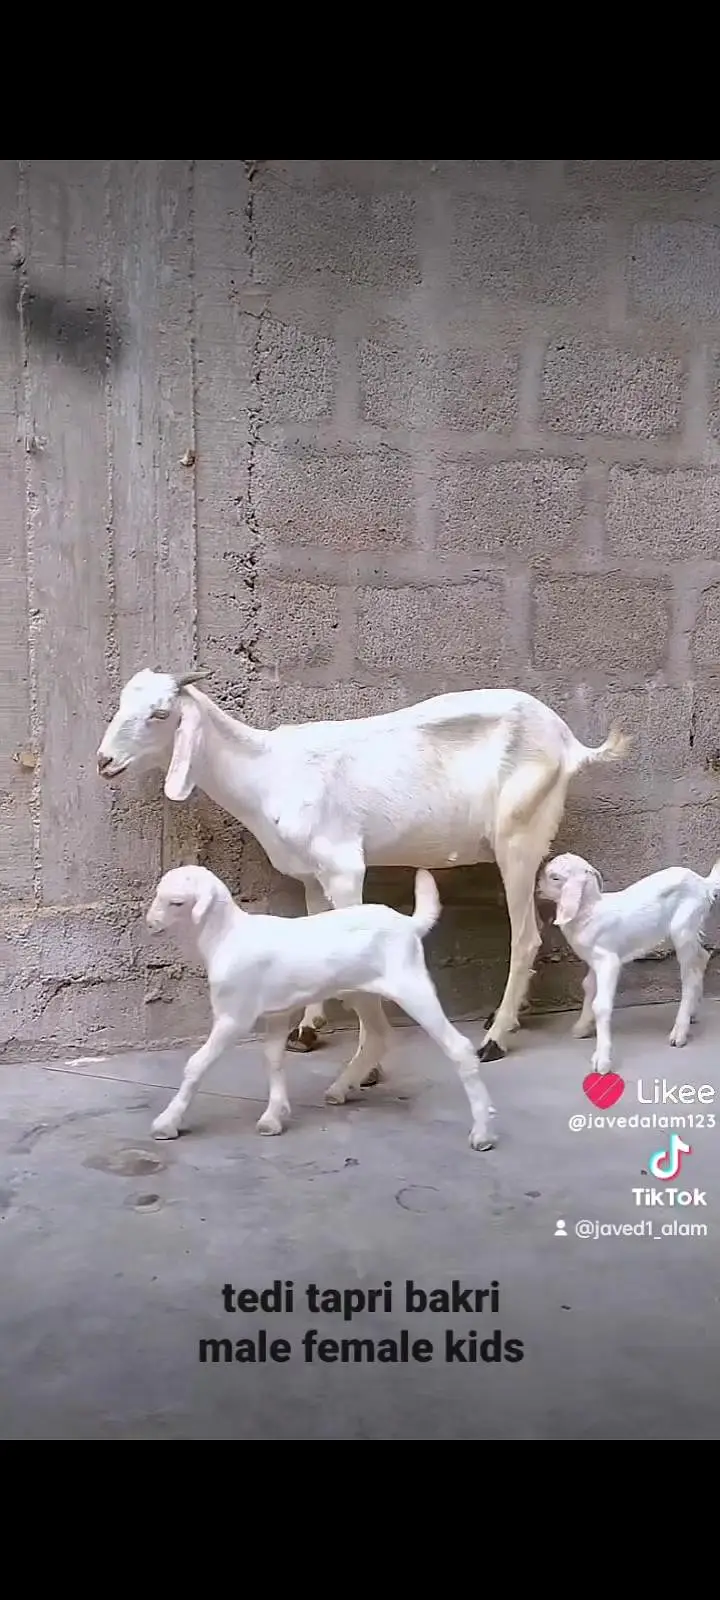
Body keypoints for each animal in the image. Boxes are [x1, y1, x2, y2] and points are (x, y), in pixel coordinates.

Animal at [97, 668, 629, 1098]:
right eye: (121, 701)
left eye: (160, 714)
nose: (104, 761)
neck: (267, 771)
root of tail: (568, 743)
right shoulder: (311, 875)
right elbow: (314, 936)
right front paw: (307, 1031)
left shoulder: (344, 865)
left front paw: (366, 1066)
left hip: (518, 835)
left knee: (526, 936)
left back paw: (495, 1038)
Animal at [144, 862, 497, 1150]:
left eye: (176, 902)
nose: (151, 923)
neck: (228, 937)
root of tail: (409, 925)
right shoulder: (278, 1013)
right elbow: (273, 1059)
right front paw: (274, 1116)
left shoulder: (234, 1017)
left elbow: (197, 1064)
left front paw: (167, 1122)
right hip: (362, 993)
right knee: (378, 1035)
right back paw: (340, 1088)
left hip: (412, 987)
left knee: (457, 1047)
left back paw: (482, 1132)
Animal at [537, 850, 720, 1074]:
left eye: (554, 877)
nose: (537, 886)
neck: (591, 912)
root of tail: (704, 884)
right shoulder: (594, 960)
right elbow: (588, 986)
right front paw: (582, 1027)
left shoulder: (608, 960)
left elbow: (601, 1004)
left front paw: (602, 1060)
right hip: (687, 930)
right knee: (702, 957)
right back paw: (692, 1013)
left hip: (683, 928)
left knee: (690, 977)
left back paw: (679, 1032)